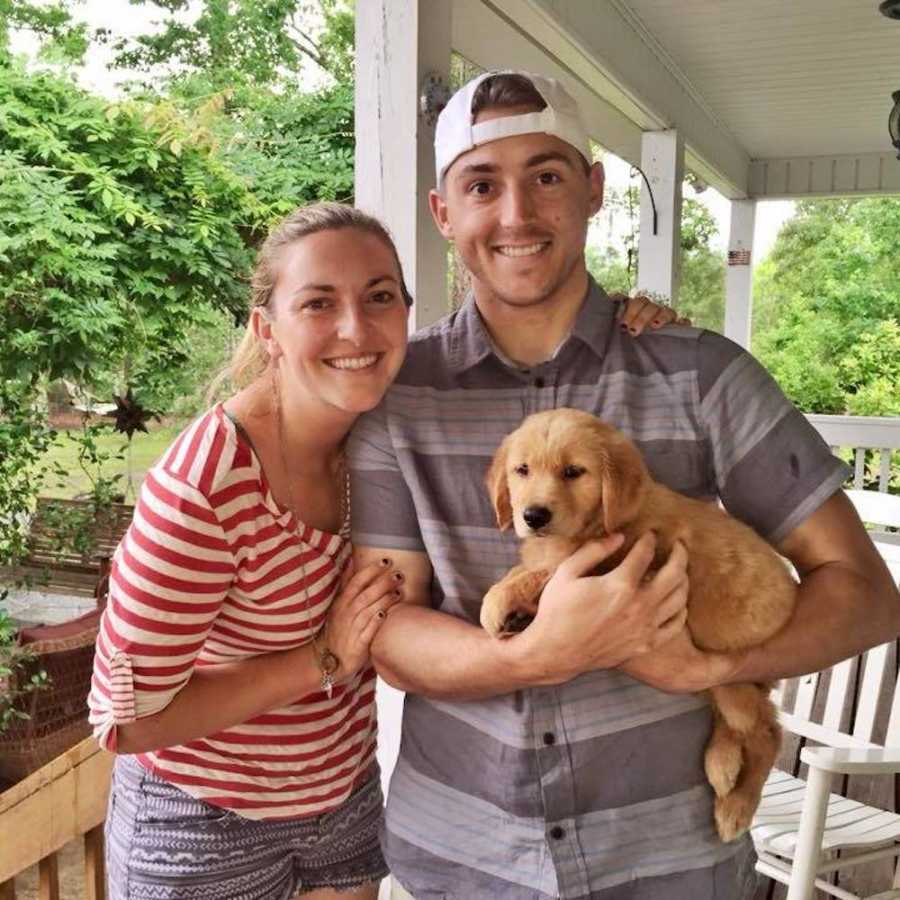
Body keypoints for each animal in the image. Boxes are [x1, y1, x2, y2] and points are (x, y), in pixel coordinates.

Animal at [482, 408, 800, 844]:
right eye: (522, 470)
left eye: (573, 472)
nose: (533, 516)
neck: (600, 521)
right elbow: (534, 565)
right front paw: (512, 605)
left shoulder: (618, 562)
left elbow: (550, 569)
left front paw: (499, 601)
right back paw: (722, 762)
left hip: (731, 676)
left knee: (767, 732)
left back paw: (735, 807)